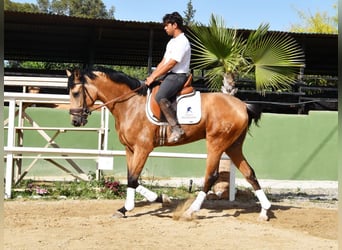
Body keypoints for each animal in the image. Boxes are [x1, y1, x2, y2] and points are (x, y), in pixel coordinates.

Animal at [65, 67, 272, 221]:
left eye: (75, 93)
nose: (75, 121)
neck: (130, 104)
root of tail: (242, 105)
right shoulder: (130, 149)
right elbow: (132, 178)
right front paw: (156, 199)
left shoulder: (143, 149)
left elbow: (132, 178)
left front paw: (129, 207)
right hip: (233, 145)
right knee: (249, 173)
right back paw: (264, 211)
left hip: (217, 143)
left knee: (211, 176)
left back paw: (191, 211)